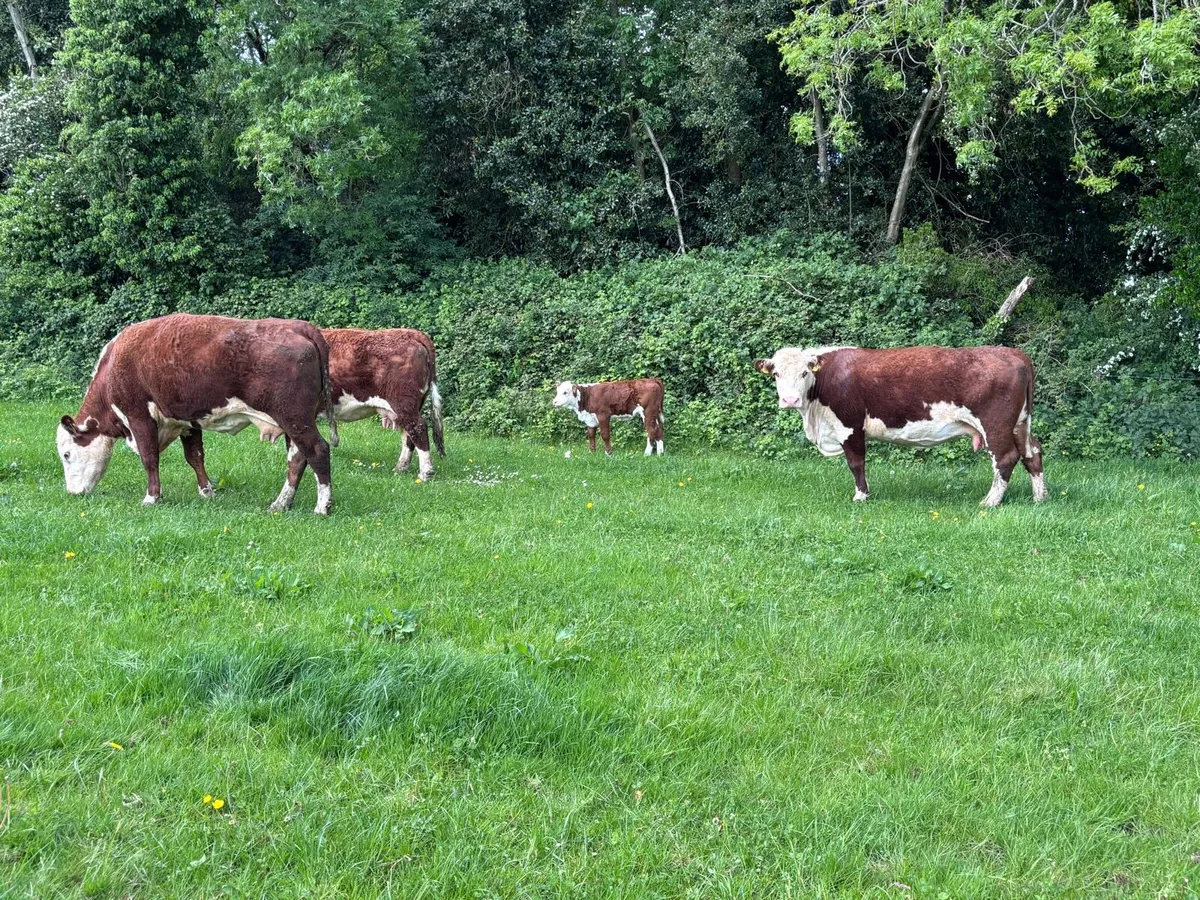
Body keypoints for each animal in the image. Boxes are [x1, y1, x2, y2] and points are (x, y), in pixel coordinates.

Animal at [57, 313, 339, 514]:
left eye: (67, 454)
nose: (72, 493)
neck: (114, 365)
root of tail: (299, 326)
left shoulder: (138, 416)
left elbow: (150, 458)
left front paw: (151, 497)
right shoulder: (187, 421)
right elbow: (195, 457)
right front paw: (207, 492)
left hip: (295, 418)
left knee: (317, 450)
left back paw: (322, 506)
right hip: (295, 422)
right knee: (297, 459)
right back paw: (281, 504)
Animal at [322, 328, 445, 480]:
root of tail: (412, 332)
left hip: (403, 402)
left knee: (418, 427)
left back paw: (426, 473)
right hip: (409, 406)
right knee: (408, 433)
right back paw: (401, 468)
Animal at [754, 345, 1046, 506]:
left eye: (805, 372)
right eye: (777, 373)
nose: (790, 400)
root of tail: (1013, 353)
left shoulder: (850, 426)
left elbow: (856, 463)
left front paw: (861, 496)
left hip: (996, 423)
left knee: (1006, 458)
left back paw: (990, 501)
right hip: (1020, 422)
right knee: (1033, 452)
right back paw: (1040, 497)